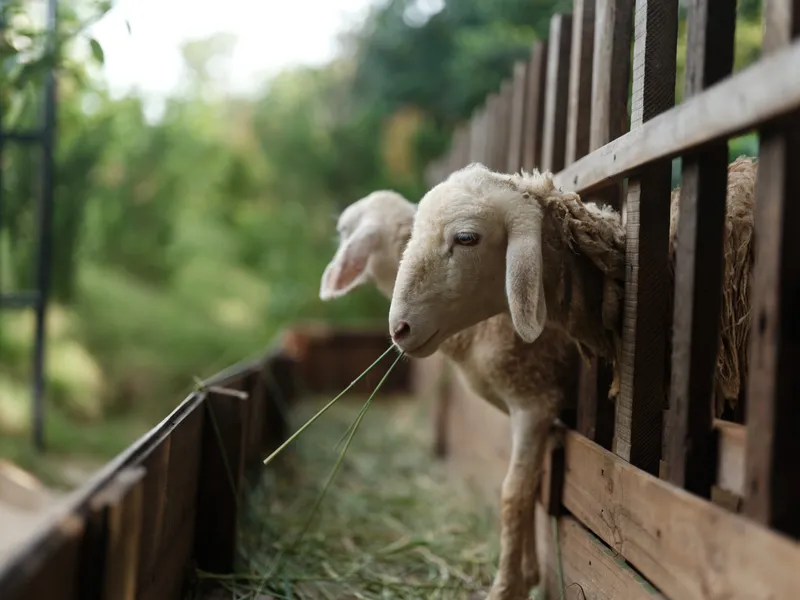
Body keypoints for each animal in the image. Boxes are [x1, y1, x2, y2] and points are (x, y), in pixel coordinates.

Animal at [319, 189, 581, 600]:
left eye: (345, 230)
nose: (400, 328)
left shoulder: (535, 398)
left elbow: (514, 493)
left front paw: (508, 587)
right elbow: (532, 485)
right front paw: (528, 574)